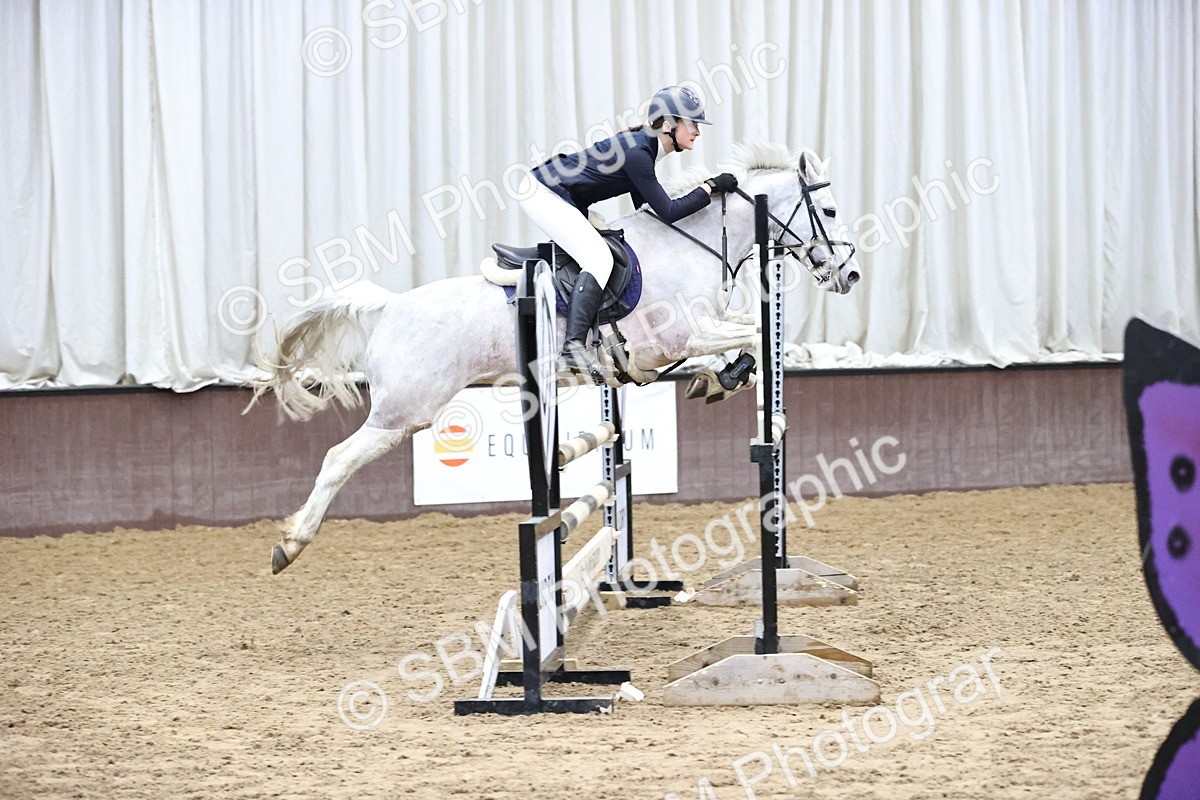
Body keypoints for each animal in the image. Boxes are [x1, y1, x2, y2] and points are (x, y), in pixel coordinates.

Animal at [250, 142, 860, 573]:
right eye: (829, 209)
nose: (850, 275)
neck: (694, 243)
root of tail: (391, 306)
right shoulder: (680, 337)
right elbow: (754, 337)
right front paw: (733, 378)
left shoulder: (673, 346)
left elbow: (745, 344)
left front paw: (719, 380)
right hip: (406, 410)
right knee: (338, 458)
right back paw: (290, 545)